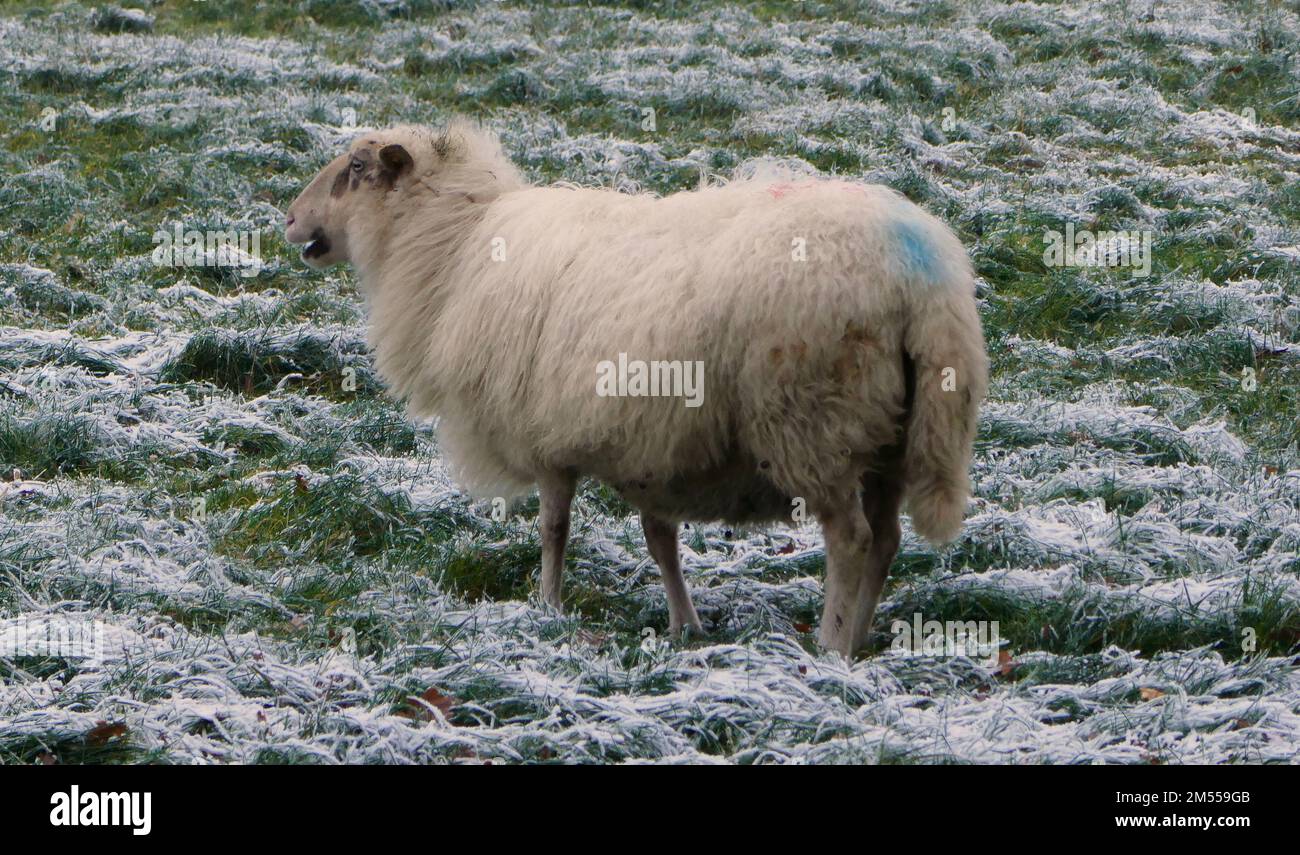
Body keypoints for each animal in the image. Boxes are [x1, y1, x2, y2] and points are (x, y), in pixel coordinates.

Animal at [285, 119, 988, 657]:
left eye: (354, 167)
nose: (290, 219)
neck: (454, 250)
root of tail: (921, 278)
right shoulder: (652, 442)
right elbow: (660, 540)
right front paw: (684, 625)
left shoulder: (546, 435)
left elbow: (555, 529)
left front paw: (548, 608)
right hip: (892, 433)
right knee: (887, 538)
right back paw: (862, 635)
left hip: (815, 421)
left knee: (852, 540)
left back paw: (831, 645)